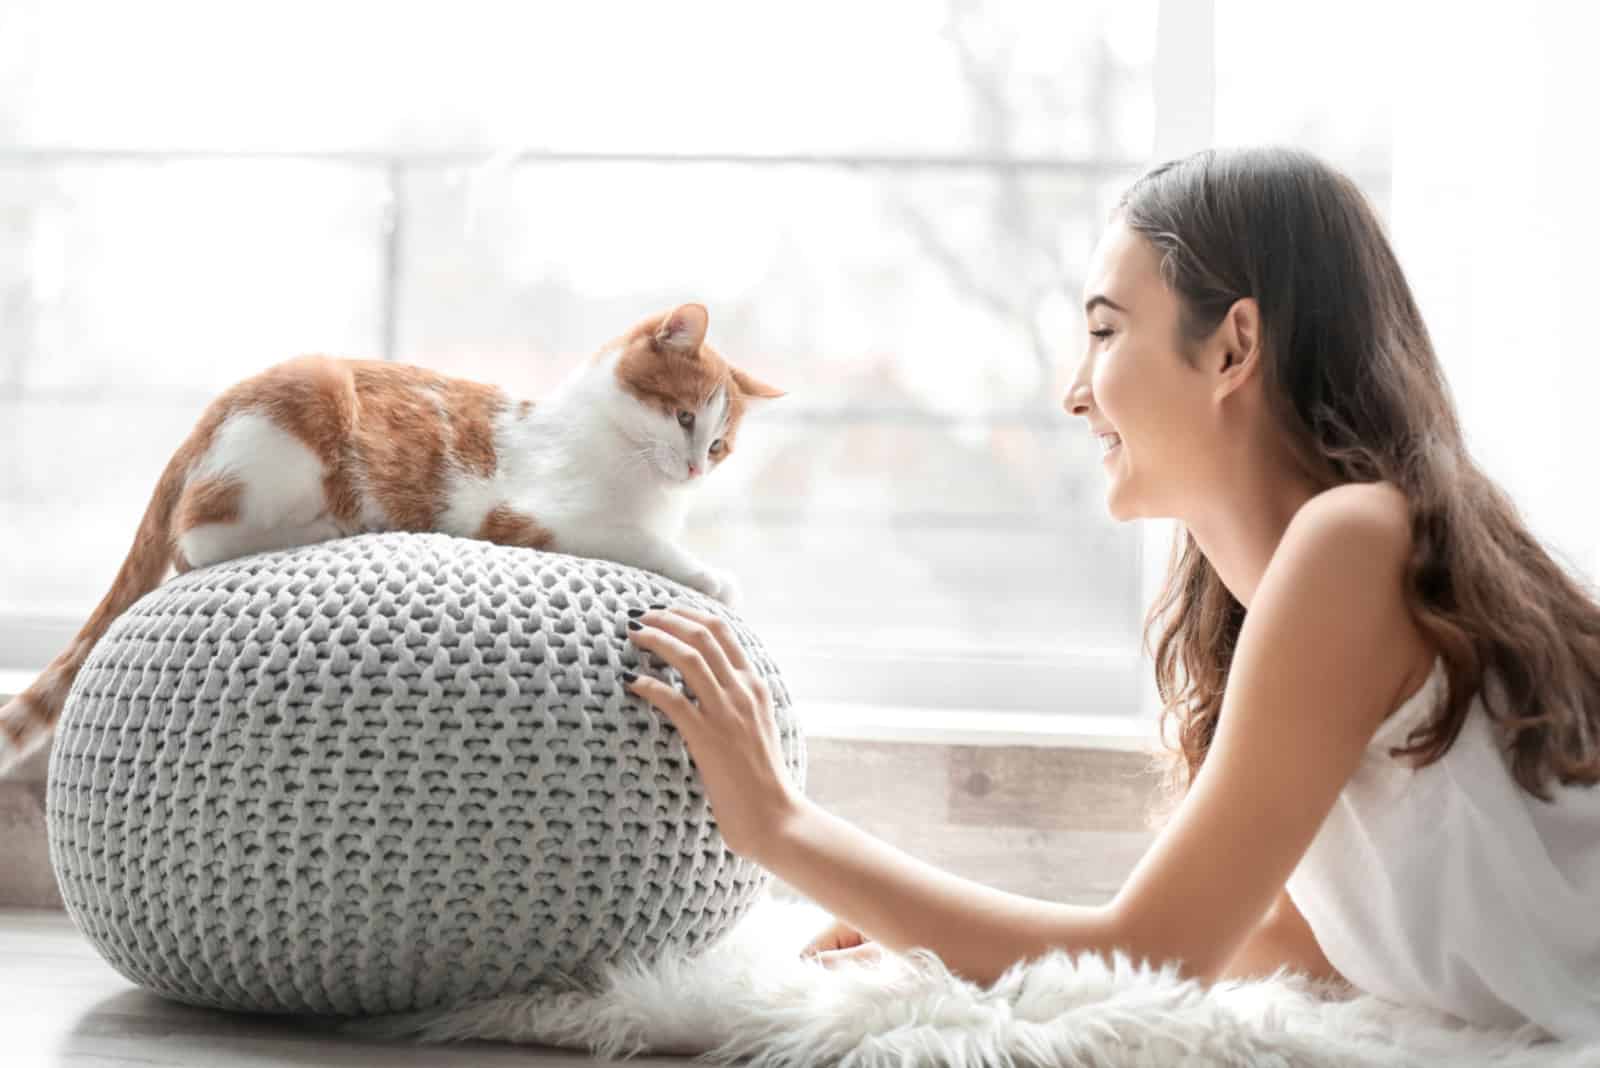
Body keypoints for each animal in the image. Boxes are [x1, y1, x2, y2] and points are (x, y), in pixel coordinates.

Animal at [0, 300, 780, 777]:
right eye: (684, 417)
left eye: (720, 447)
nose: (693, 465)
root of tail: (209, 414)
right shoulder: (539, 517)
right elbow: (638, 543)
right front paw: (714, 577)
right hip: (302, 421)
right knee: (198, 535)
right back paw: (328, 522)